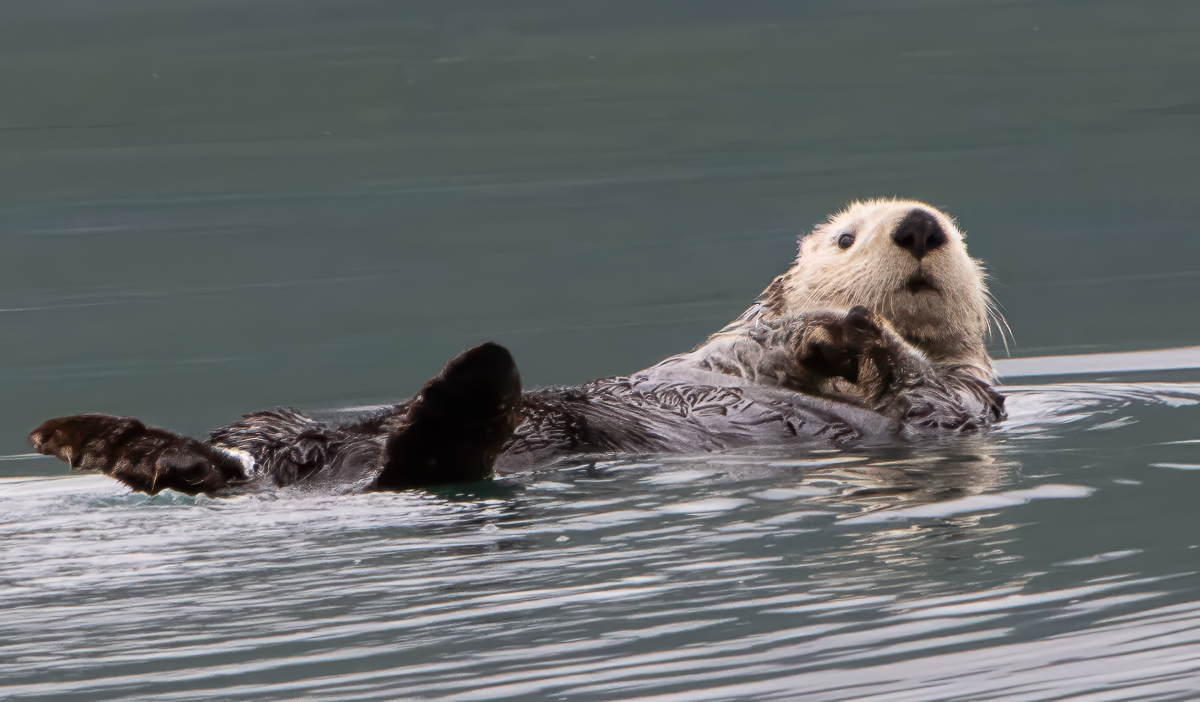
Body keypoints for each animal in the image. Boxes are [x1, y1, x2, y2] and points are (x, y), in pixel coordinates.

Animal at [29, 199, 1005, 496]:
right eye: (846, 236)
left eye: (956, 230)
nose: (922, 226)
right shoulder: (734, 340)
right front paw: (828, 330)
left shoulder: (960, 402)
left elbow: (914, 388)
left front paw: (852, 337)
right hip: (274, 426)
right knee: (242, 455)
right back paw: (117, 445)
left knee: (429, 456)